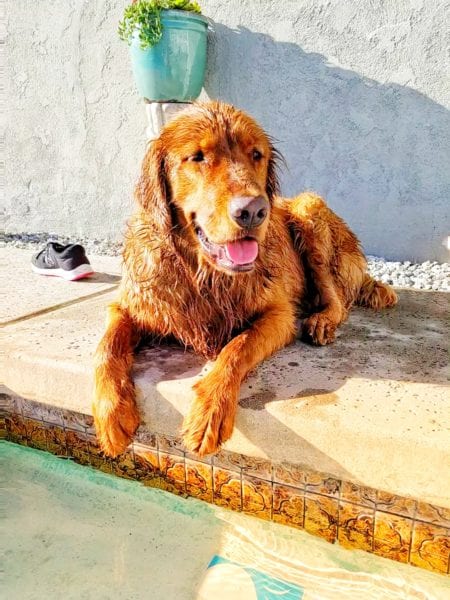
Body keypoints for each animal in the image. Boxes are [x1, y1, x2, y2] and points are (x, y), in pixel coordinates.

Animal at [92, 101, 398, 458]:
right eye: (197, 157)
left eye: (255, 154)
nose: (252, 211)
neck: (204, 274)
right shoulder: (133, 304)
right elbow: (106, 347)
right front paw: (111, 413)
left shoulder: (279, 314)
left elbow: (236, 347)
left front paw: (210, 412)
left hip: (309, 210)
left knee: (337, 298)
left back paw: (321, 320)